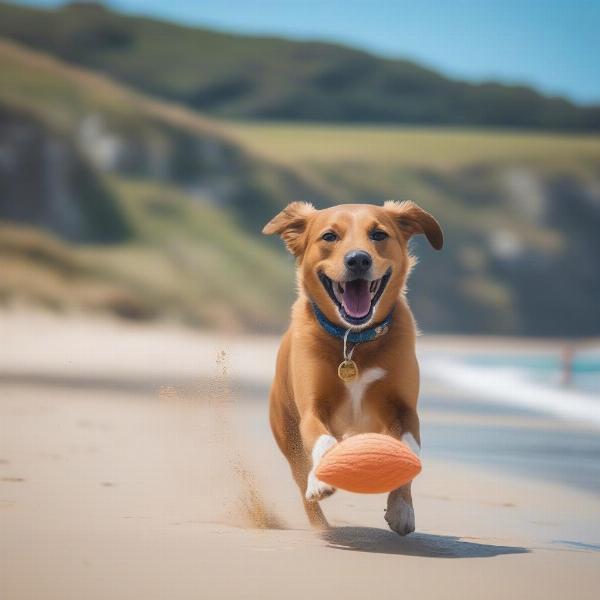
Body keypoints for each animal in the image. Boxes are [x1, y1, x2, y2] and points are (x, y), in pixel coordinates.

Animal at [262, 202, 440, 536]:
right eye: (329, 236)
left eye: (379, 234)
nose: (358, 259)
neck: (354, 341)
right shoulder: (312, 408)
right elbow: (322, 438)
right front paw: (320, 480)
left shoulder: (404, 408)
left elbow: (409, 450)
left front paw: (401, 508)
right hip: (287, 433)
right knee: (301, 480)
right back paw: (320, 520)